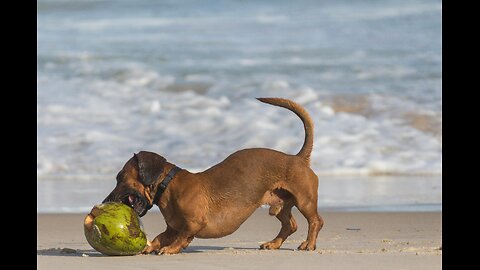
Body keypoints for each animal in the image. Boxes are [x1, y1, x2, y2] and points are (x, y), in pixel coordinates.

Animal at [102, 98, 324, 254]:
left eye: (120, 177)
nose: (105, 201)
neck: (170, 186)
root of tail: (297, 158)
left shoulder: (193, 224)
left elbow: (183, 237)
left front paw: (171, 249)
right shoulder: (171, 228)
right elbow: (160, 237)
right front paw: (150, 246)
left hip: (304, 201)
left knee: (316, 221)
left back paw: (309, 244)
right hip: (280, 206)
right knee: (290, 225)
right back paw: (274, 243)